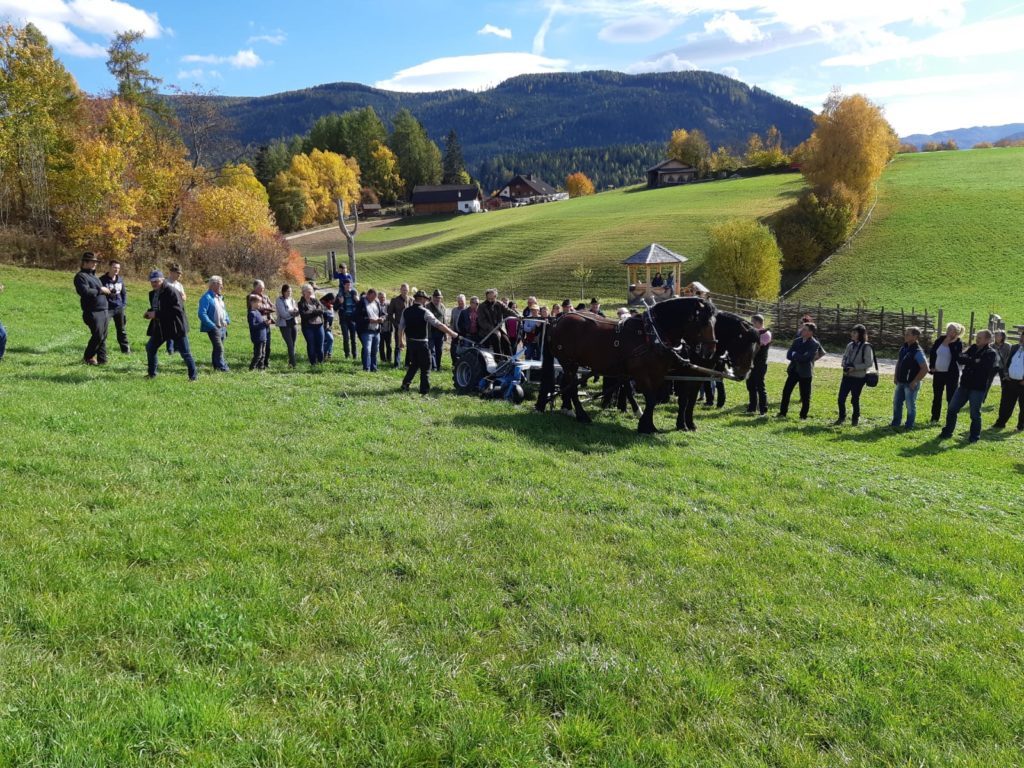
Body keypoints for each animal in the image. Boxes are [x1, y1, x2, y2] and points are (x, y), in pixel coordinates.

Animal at [540, 296, 716, 434]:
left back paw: (567, 409)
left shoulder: (657, 374)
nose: (710, 351)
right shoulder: (641, 374)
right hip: (569, 362)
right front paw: (645, 426)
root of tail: (556, 321)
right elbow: (651, 398)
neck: (651, 334)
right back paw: (582, 415)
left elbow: (652, 400)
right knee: (572, 388)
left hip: (570, 364)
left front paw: (648, 424)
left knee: (567, 384)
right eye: (704, 322)